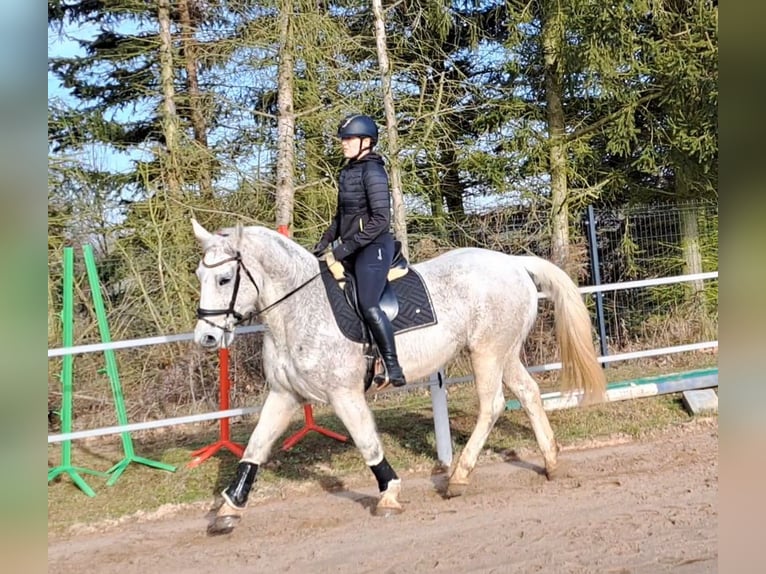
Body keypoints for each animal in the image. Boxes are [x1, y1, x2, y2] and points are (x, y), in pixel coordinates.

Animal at [190, 219, 608, 536]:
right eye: (199, 275)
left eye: (224, 279)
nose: (206, 338)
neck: (299, 309)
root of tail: (512, 262)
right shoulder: (284, 395)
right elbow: (254, 449)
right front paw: (228, 509)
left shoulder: (345, 394)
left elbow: (367, 443)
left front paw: (389, 494)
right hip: (504, 353)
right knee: (530, 393)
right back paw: (550, 461)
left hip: (487, 352)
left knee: (492, 405)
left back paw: (459, 477)